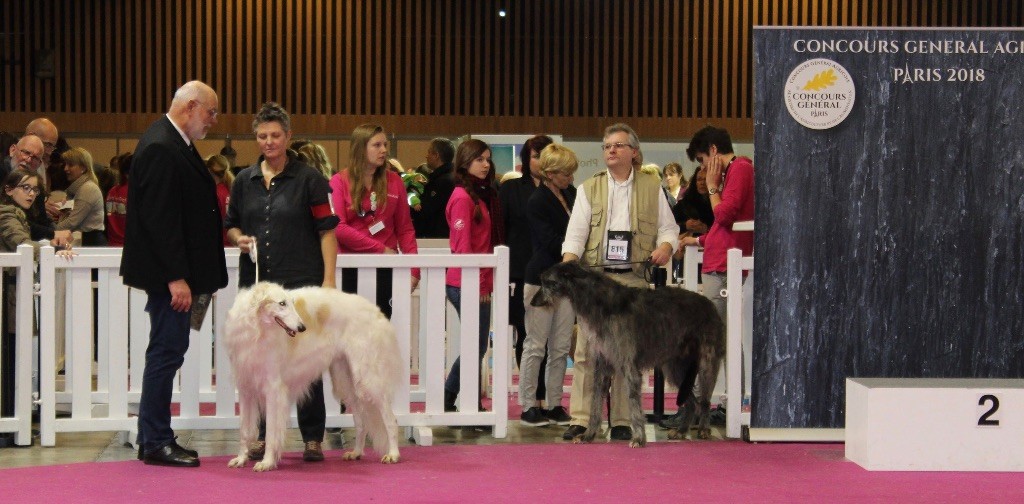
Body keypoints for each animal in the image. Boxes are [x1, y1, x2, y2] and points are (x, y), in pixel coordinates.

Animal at [224, 280, 399, 471]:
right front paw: (241, 459)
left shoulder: (273, 389)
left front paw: (267, 462)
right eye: (282, 303)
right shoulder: (245, 388)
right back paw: (356, 452)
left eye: (292, 303)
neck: (257, 330)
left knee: (391, 420)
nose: (302, 328)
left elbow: (271, 433)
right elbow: (244, 431)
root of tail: (376, 312)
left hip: (368, 377)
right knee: (361, 422)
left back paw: (393, 454)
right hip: (346, 381)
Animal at [532, 262, 724, 446]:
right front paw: (588, 435)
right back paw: (682, 431)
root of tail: (709, 303)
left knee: (704, 400)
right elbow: (595, 401)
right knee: (692, 402)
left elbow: (633, 402)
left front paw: (638, 438)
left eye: (546, 282)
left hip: (706, 362)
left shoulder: (628, 363)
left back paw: (704, 429)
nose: (532, 303)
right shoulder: (602, 363)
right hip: (674, 367)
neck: (600, 302)